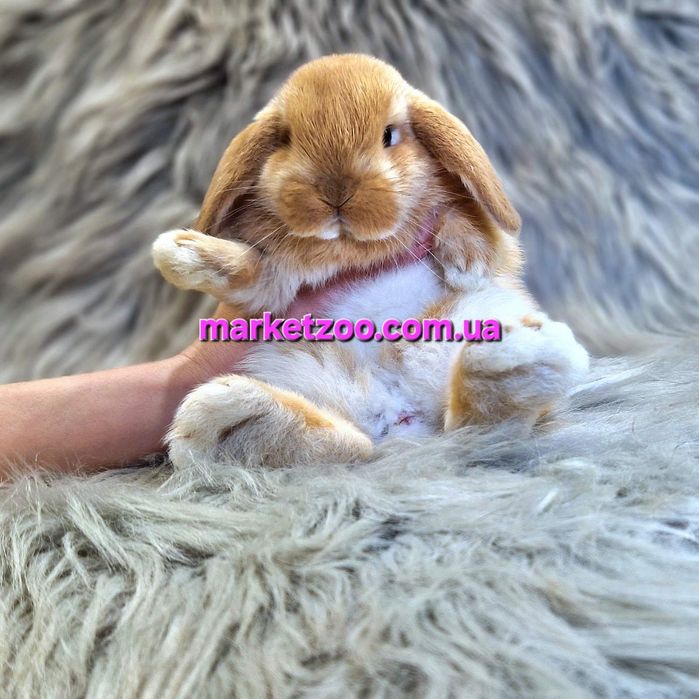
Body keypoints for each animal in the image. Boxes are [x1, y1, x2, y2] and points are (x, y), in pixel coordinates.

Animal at [152, 54, 589, 470]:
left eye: (389, 135)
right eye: (286, 140)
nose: (335, 192)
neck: (348, 248)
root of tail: (401, 418)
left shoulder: (499, 246)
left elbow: (469, 221)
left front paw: (467, 263)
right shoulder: (276, 287)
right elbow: (250, 271)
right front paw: (179, 251)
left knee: (475, 430)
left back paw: (516, 357)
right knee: (352, 446)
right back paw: (229, 418)